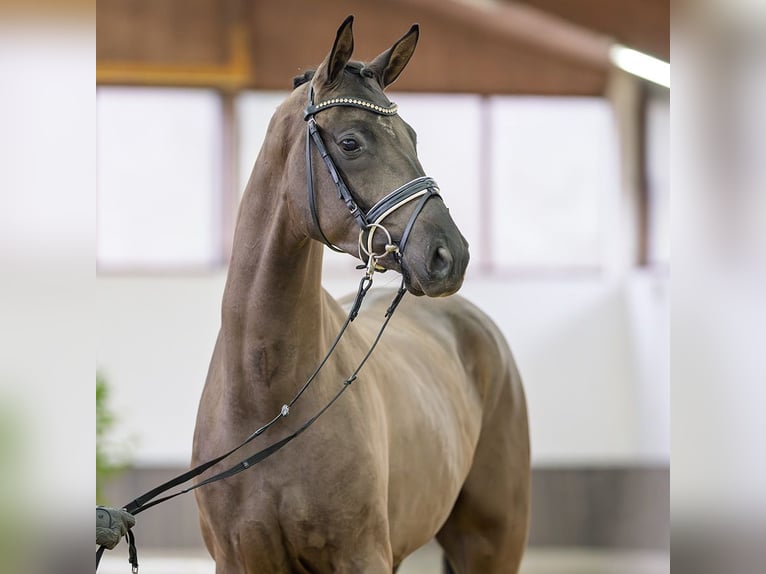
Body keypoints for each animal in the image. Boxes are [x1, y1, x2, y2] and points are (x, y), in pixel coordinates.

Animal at [192, 15, 532, 572]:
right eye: (352, 142)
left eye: (412, 135)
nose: (450, 254)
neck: (269, 401)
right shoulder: (238, 560)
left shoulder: (362, 555)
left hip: (491, 544)